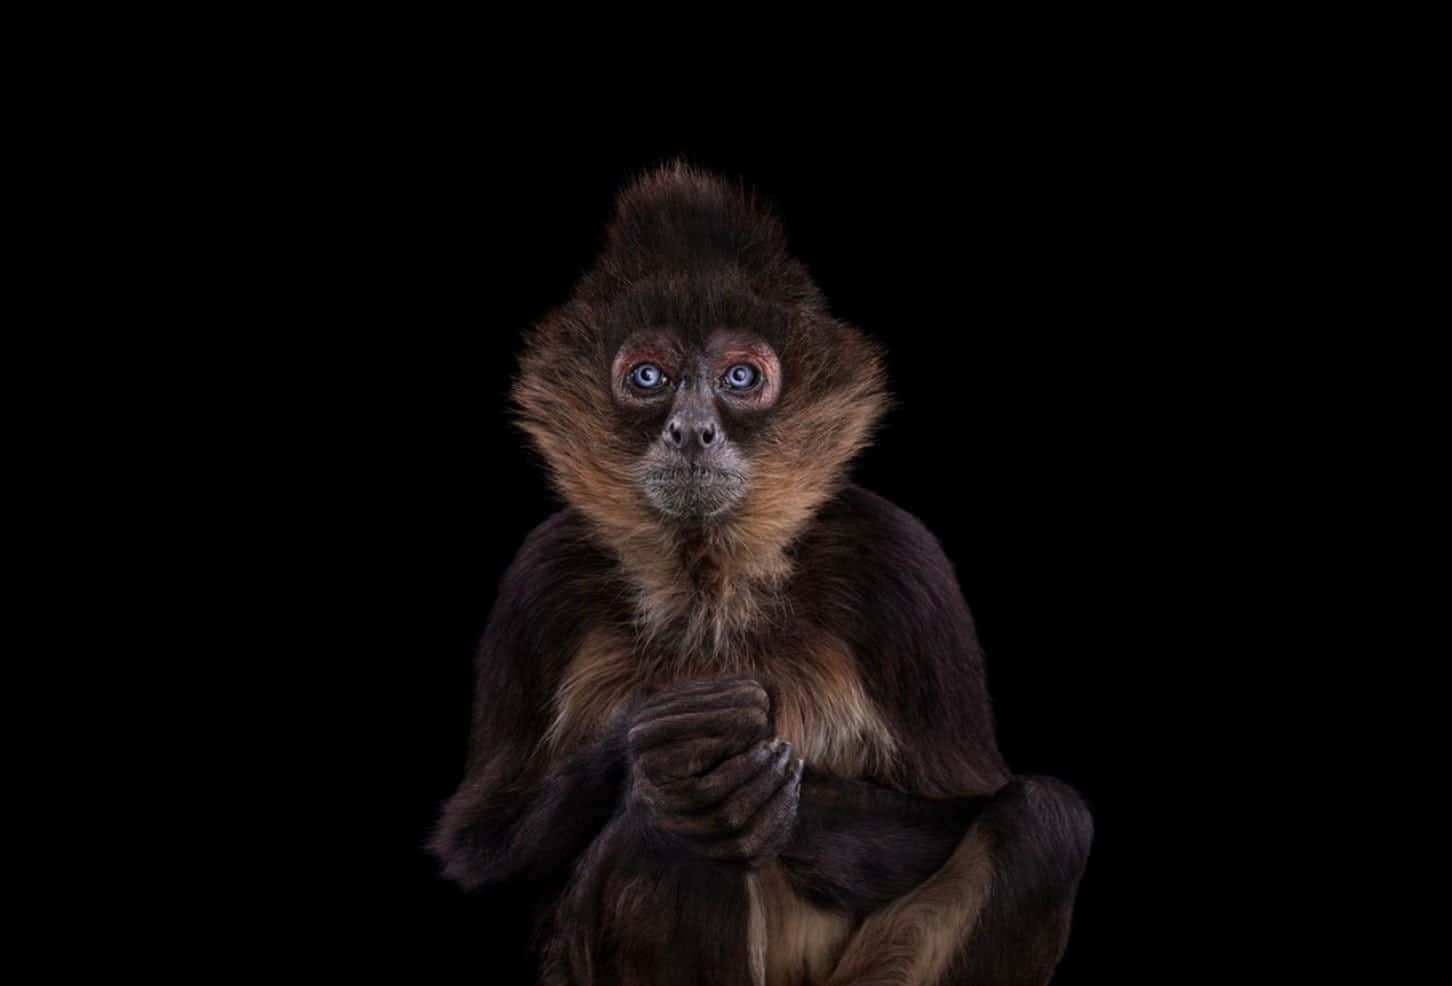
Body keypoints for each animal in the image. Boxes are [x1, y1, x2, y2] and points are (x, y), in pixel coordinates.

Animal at [429, 160, 1093, 985]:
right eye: (648, 377)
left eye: (741, 378)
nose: (691, 430)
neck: (707, 582)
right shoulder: (540, 576)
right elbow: (479, 851)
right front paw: (640, 745)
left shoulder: (897, 560)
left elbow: (965, 807)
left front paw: (759, 794)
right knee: (661, 829)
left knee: (1047, 818)